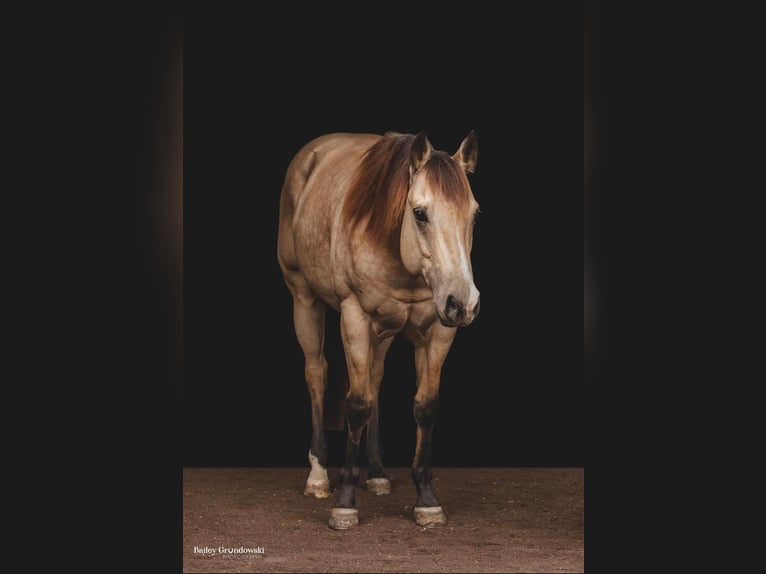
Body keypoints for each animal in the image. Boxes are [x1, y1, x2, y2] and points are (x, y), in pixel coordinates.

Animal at [276, 130, 480, 532]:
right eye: (420, 213)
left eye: (474, 214)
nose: (463, 303)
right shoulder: (354, 317)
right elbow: (357, 404)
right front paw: (344, 503)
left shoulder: (439, 331)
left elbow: (424, 406)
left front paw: (426, 499)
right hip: (304, 299)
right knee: (317, 373)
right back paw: (319, 476)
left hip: (384, 331)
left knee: (374, 378)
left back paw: (377, 473)